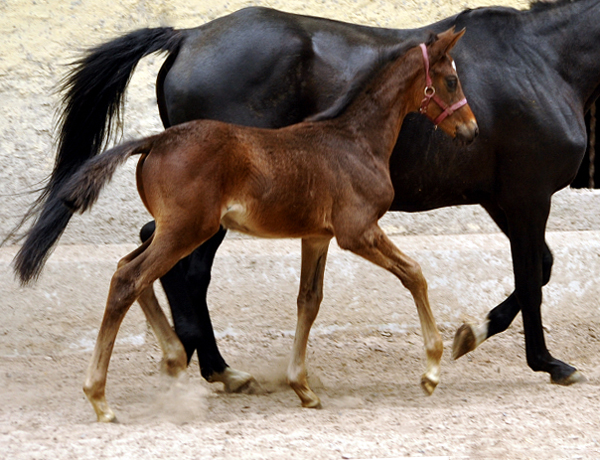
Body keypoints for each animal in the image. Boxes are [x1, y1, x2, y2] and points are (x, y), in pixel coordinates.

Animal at [39, 29, 478, 420]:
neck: (354, 140)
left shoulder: (317, 237)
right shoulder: (357, 232)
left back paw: (175, 358)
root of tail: (155, 141)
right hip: (187, 231)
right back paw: (100, 398)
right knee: (128, 279)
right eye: (451, 80)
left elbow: (309, 301)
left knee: (128, 269)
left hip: (176, 230)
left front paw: (303, 389)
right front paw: (431, 372)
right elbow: (415, 273)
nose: (472, 129)